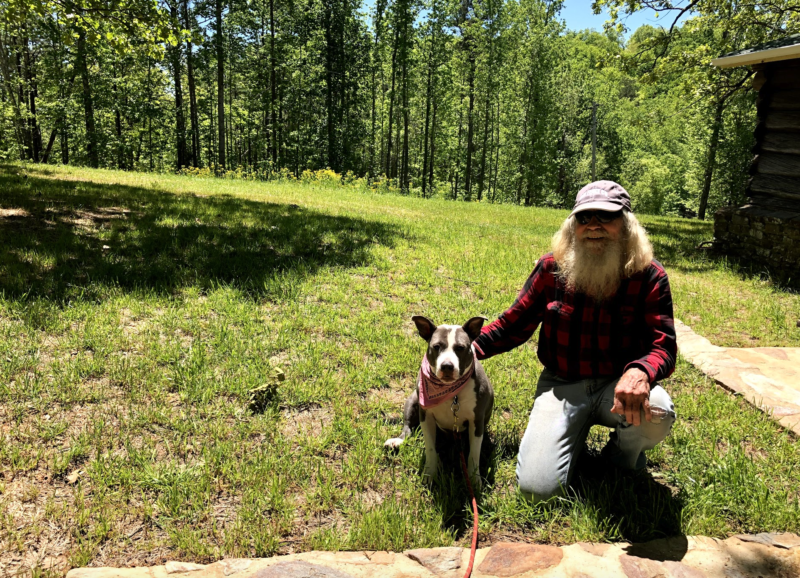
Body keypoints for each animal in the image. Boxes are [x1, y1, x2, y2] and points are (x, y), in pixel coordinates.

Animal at [386, 316, 494, 486]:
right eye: (436, 347)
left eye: (460, 347)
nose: (447, 366)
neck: (450, 391)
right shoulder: (426, 416)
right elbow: (430, 448)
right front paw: (430, 473)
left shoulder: (476, 421)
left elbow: (474, 453)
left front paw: (474, 479)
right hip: (413, 400)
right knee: (408, 428)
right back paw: (397, 441)